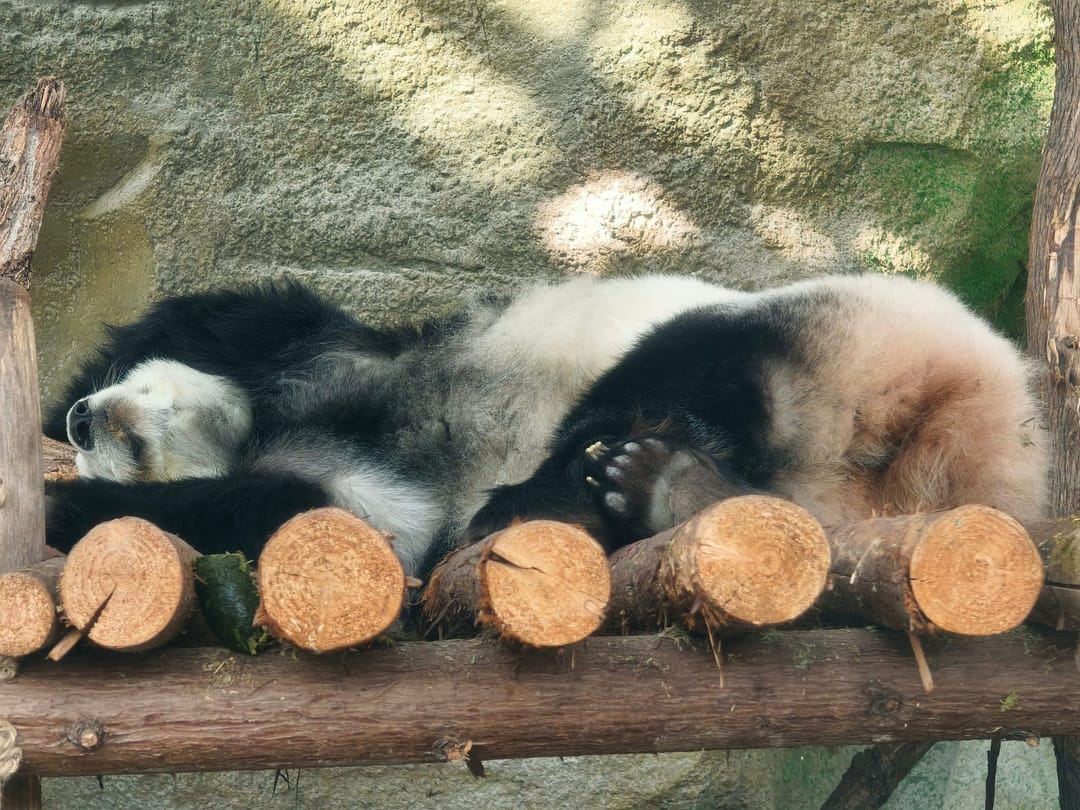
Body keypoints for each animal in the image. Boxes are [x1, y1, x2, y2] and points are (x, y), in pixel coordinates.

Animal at [44, 273, 1047, 580]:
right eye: (107, 449)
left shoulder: (319, 349)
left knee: (676, 362)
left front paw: (60, 509)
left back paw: (563, 503)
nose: (86, 422)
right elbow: (332, 513)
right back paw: (676, 494)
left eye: (137, 412)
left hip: (850, 323)